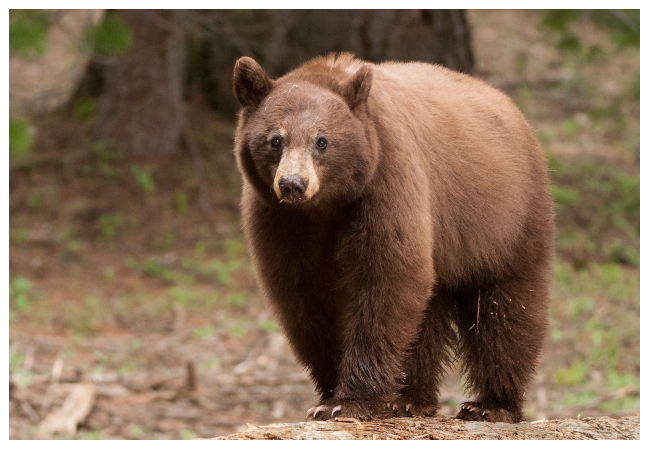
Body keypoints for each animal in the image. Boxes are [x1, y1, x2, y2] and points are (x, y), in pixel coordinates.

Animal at [230, 52, 548, 422]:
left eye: (322, 141)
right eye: (275, 139)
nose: (293, 184)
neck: (328, 205)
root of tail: (509, 105)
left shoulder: (385, 181)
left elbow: (387, 276)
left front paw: (348, 401)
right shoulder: (280, 218)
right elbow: (304, 293)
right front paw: (331, 390)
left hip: (506, 219)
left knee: (505, 308)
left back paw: (491, 404)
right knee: (427, 311)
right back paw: (411, 399)